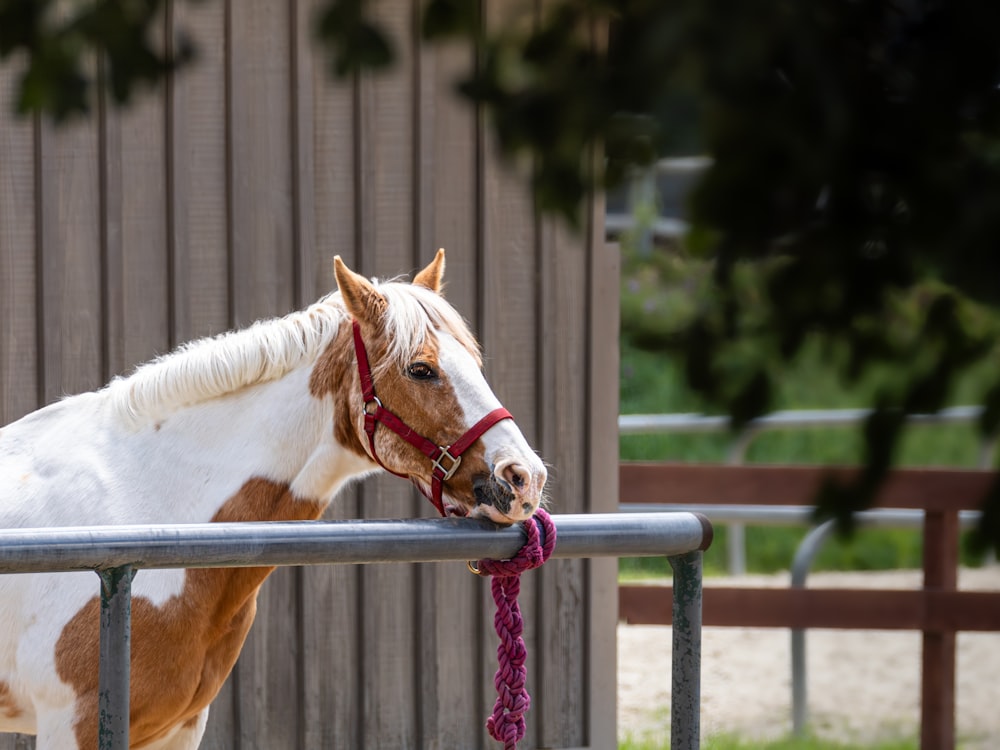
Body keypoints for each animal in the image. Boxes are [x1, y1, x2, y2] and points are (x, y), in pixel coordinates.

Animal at [0, 254, 548, 750]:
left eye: (475, 362)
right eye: (421, 369)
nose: (523, 477)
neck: (146, 506)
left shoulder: (176, 729)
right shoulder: (72, 727)